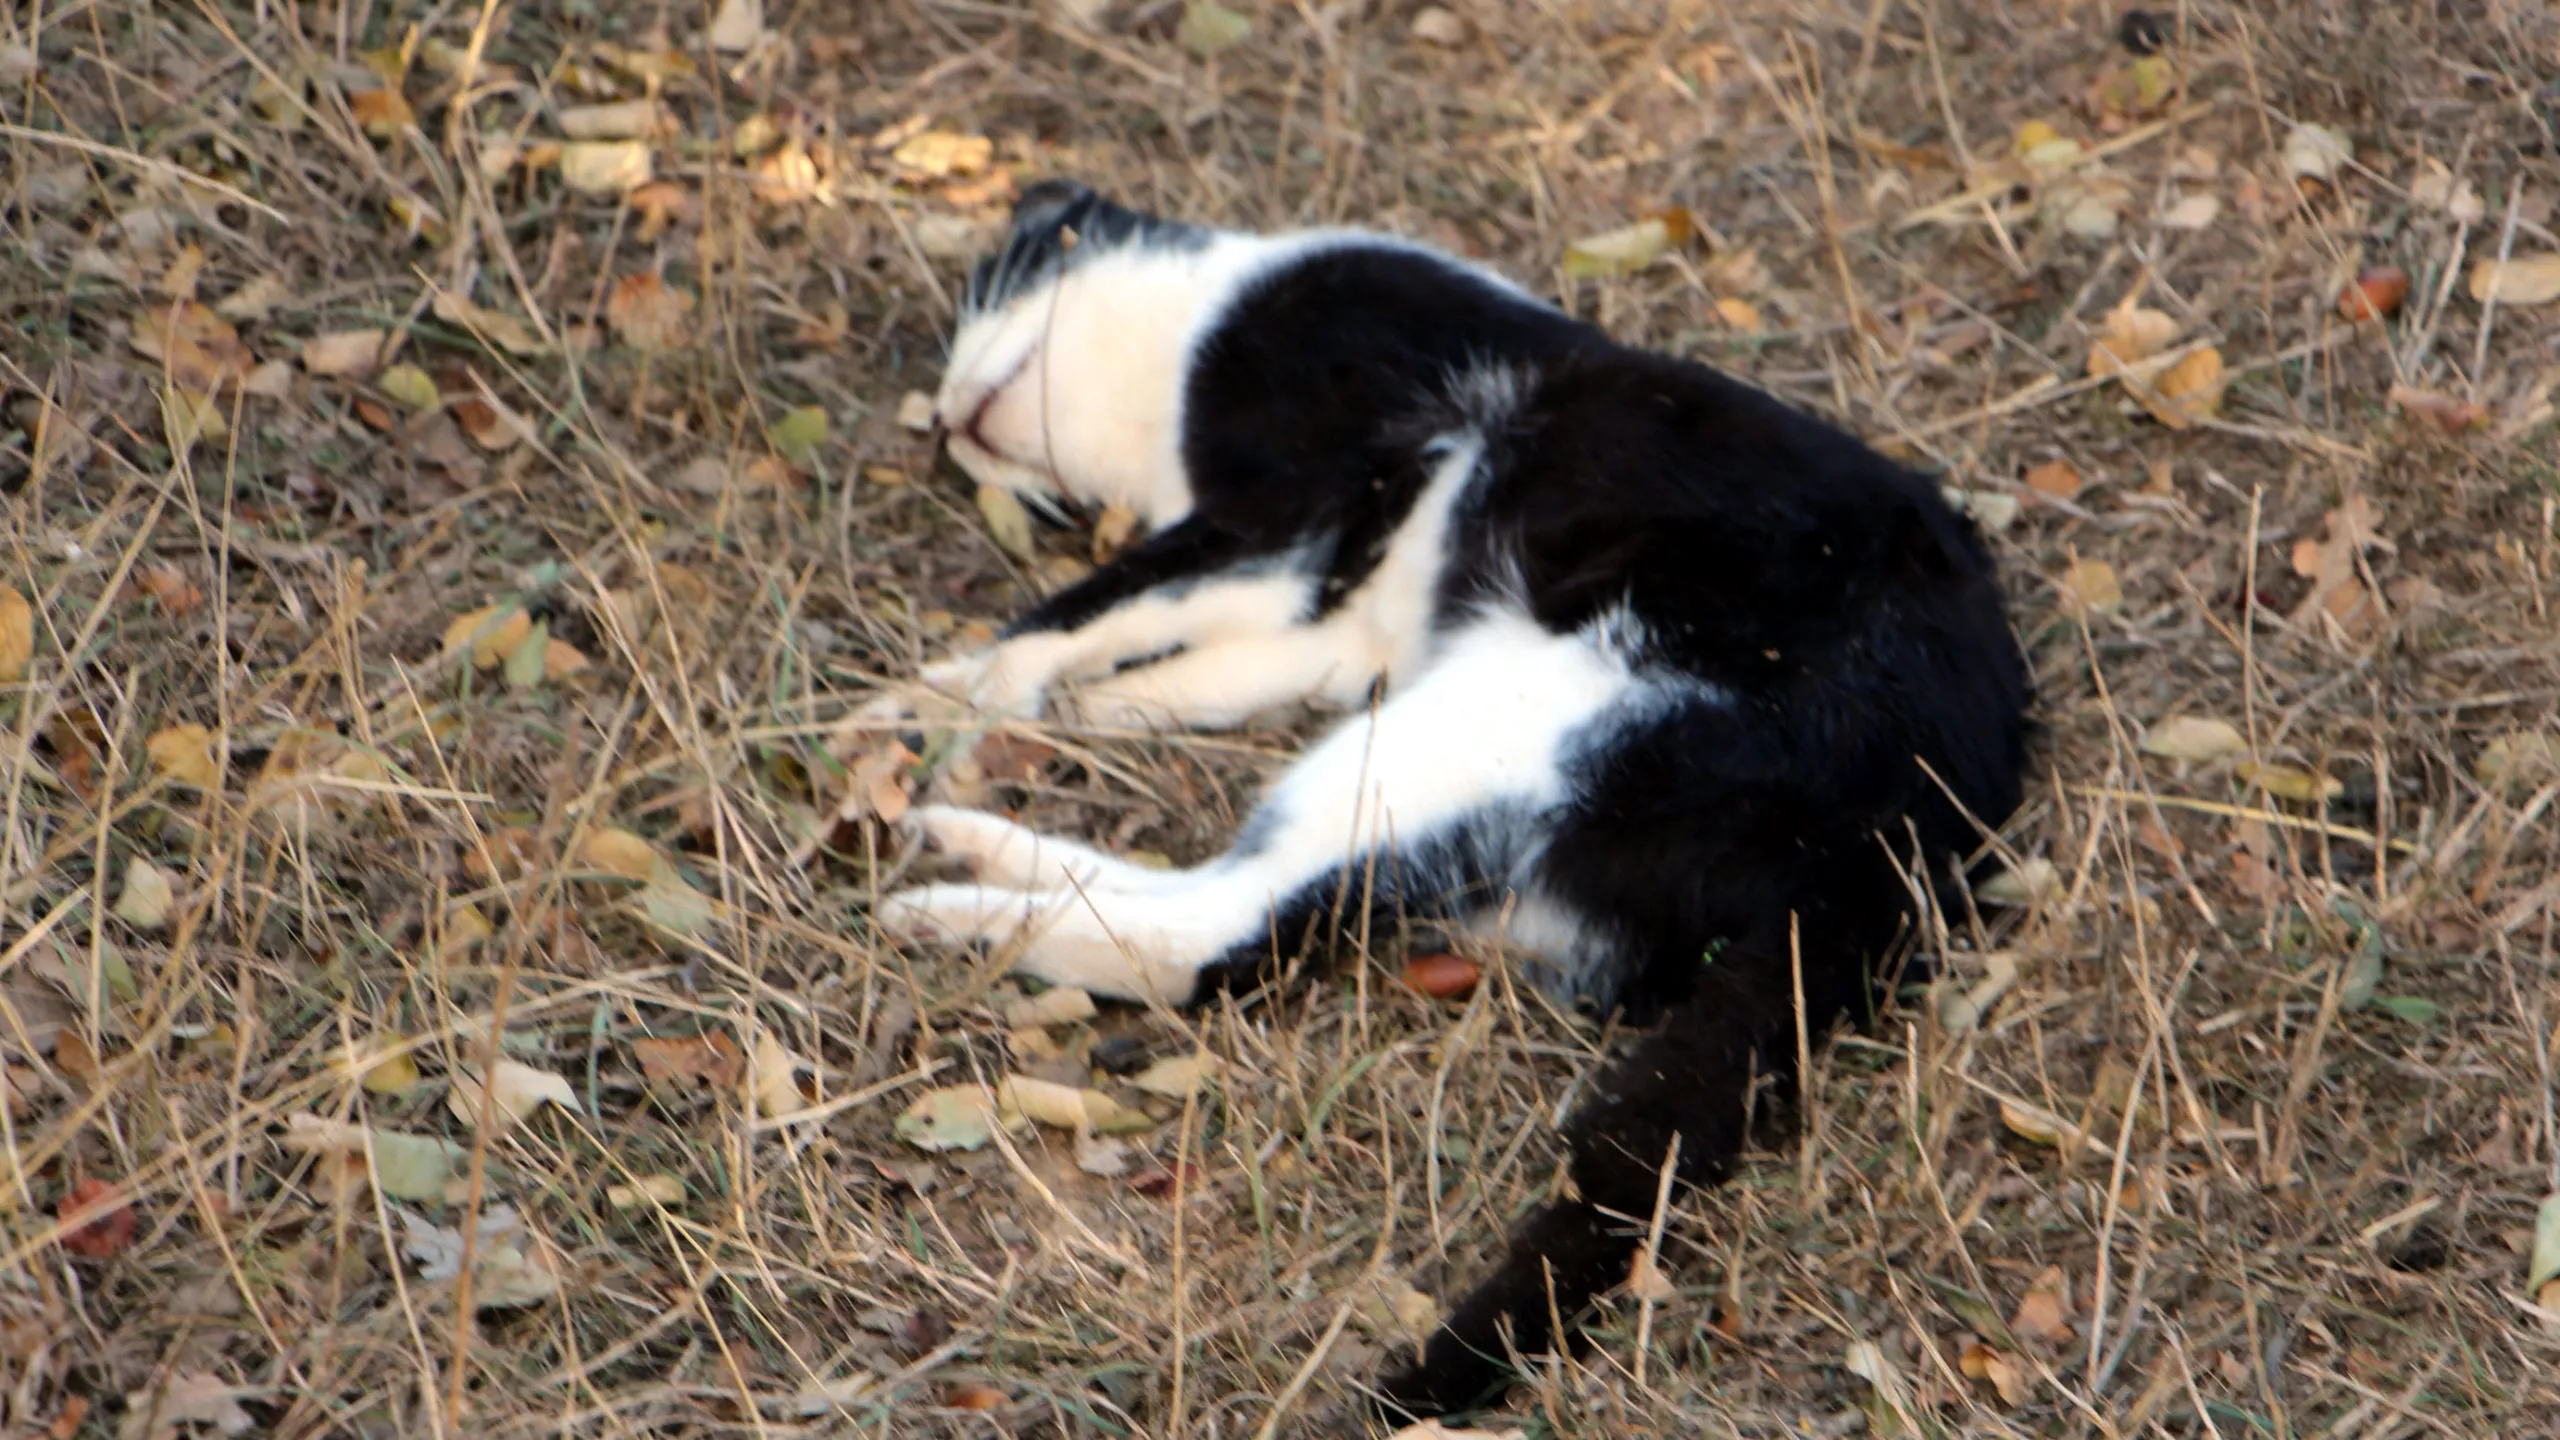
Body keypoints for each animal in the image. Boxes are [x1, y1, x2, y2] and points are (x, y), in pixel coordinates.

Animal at [870, 184, 2027, 1414]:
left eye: (990, 286)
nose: (938, 423)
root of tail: (1906, 841)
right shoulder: (1333, 630)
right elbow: (1186, 664)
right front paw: (1068, 708)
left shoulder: (1295, 491)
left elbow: (1090, 605)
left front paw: (926, 696)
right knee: (1251, 901)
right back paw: (968, 856)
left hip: (1497, 717)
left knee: (1221, 938)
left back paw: (958, 909)